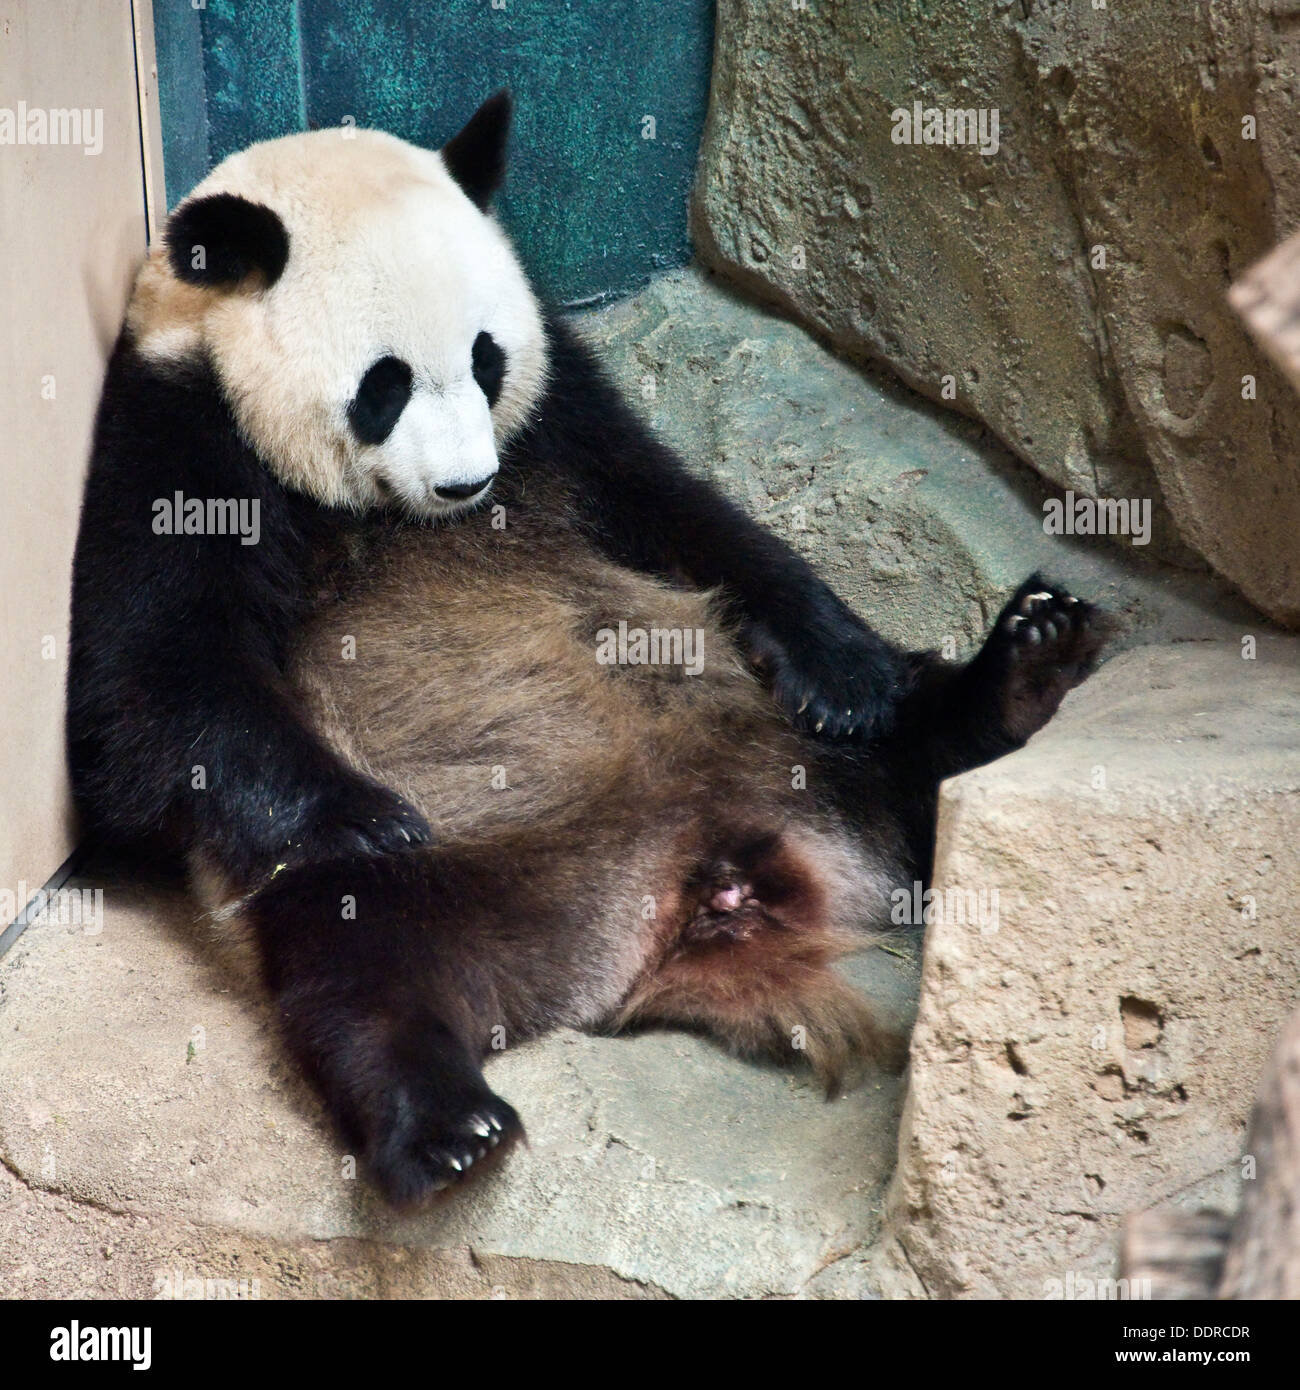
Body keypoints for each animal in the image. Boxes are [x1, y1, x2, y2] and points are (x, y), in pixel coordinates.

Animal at [68, 95, 1106, 1206]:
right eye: (384, 385)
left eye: (486, 359)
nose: (466, 484)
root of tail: (697, 882)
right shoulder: (173, 439)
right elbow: (148, 693)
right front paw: (368, 818)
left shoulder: (560, 413)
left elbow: (684, 517)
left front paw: (845, 669)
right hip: (472, 880)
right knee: (356, 968)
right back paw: (444, 1123)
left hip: (770, 735)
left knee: (909, 745)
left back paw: (1021, 665)